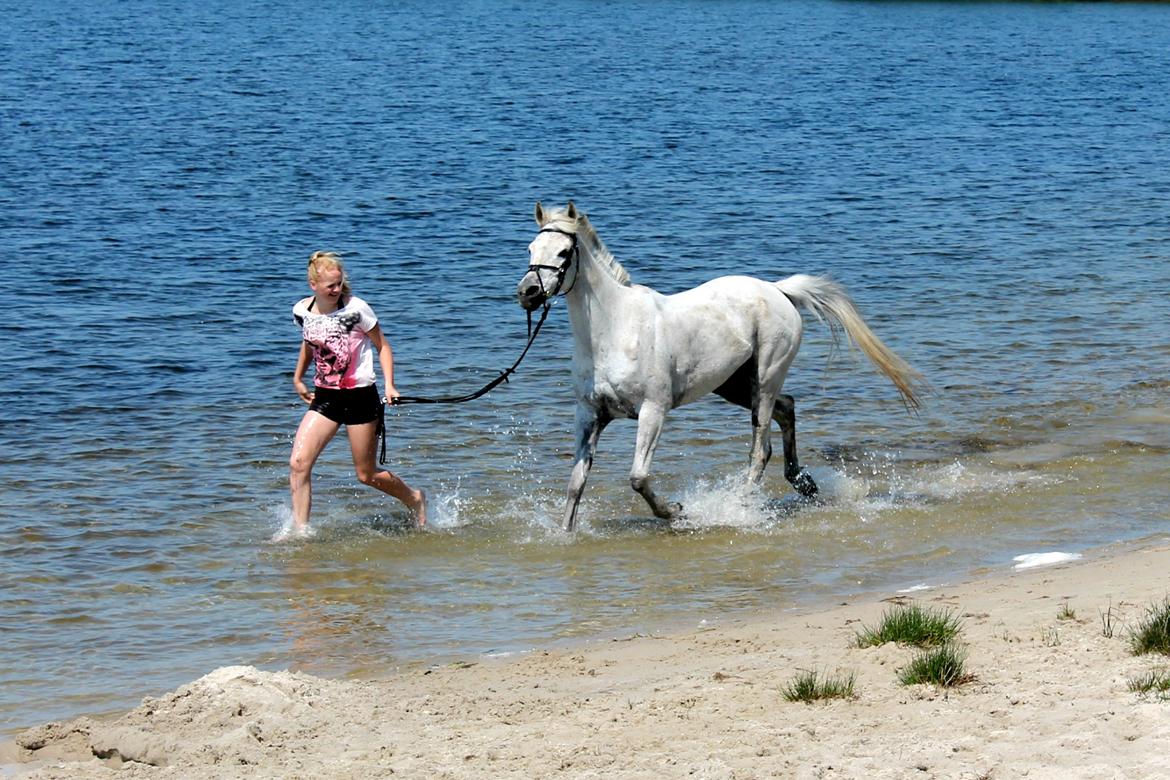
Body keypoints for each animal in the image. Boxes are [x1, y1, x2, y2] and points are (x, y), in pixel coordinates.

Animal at [517, 201, 917, 533]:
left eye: (564, 252)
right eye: (531, 249)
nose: (528, 293)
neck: (614, 330)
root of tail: (778, 290)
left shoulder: (653, 410)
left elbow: (638, 478)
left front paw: (677, 512)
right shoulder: (590, 415)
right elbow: (576, 484)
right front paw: (565, 534)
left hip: (766, 378)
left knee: (760, 448)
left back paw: (741, 506)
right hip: (734, 385)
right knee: (787, 408)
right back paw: (802, 483)